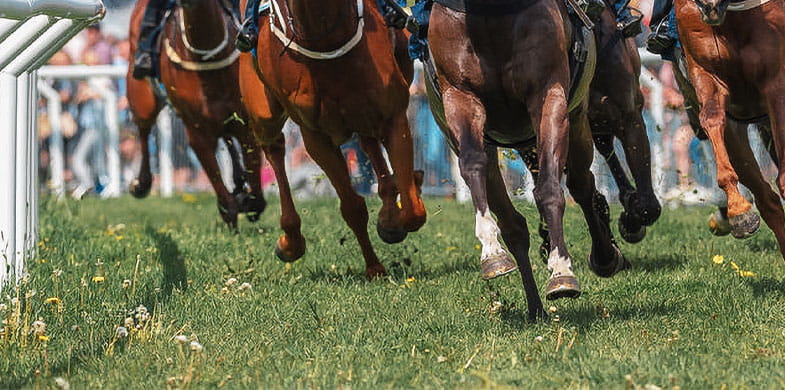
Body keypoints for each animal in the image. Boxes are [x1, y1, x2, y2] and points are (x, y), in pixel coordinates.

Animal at [126, 0, 266, 229]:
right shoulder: (196, 130)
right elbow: (222, 191)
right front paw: (232, 209)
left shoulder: (244, 122)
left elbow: (254, 183)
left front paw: (247, 198)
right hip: (141, 98)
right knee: (144, 130)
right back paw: (141, 183)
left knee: (227, 138)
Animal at [239, 0, 426, 278]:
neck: (323, 34)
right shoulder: (316, 137)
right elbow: (352, 207)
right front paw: (374, 266)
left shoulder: (394, 115)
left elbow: (413, 211)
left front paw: (392, 221)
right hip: (262, 113)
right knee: (275, 150)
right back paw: (290, 241)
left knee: (369, 144)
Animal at [426, 0, 628, 320]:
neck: (488, 15)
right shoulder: (459, 96)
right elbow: (472, 163)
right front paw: (491, 251)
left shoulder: (548, 94)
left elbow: (549, 188)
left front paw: (561, 269)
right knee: (514, 225)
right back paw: (534, 308)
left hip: (578, 120)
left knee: (582, 186)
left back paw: (605, 256)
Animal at [672, 0, 784, 258]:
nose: (709, 5)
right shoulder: (706, 76)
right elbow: (711, 118)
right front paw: (738, 211)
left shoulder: (776, 83)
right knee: (767, 200)